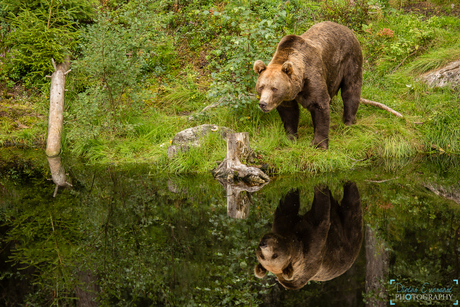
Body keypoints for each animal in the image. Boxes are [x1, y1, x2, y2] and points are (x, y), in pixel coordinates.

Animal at [253, 20, 362, 149]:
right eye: (261, 87)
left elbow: (319, 105)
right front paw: (290, 137)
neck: (299, 85)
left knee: (351, 88)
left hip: (350, 58)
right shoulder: (287, 96)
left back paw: (348, 121)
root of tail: (347, 29)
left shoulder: (312, 77)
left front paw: (319, 144)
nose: (263, 104)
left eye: (274, 88)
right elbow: (289, 113)